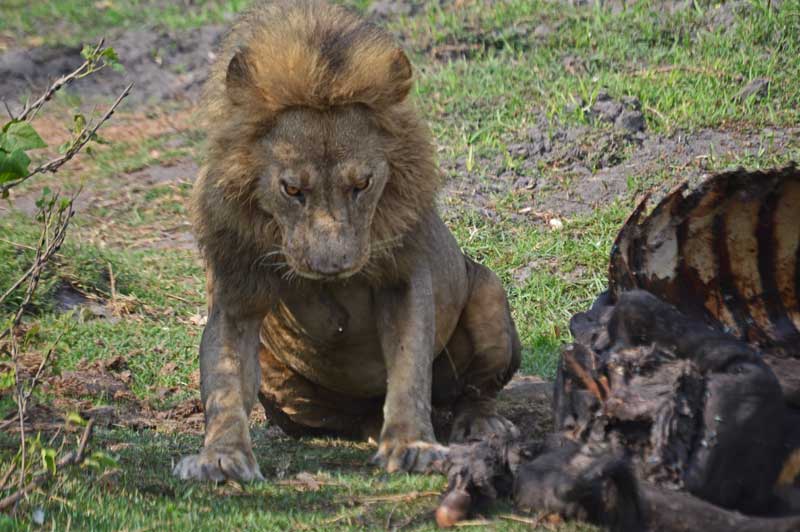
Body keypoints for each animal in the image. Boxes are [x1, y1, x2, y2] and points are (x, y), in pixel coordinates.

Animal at [173, 0, 521, 483]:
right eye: (292, 189)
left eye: (362, 185)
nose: (331, 265)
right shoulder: (236, 292)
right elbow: (224, 381)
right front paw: (221, 456)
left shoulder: (402, 276)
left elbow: (409, 369)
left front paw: (411, 444)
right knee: (347, 417)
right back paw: (370, 426)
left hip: (488, 292)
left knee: (473, 390)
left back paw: (480, 422)